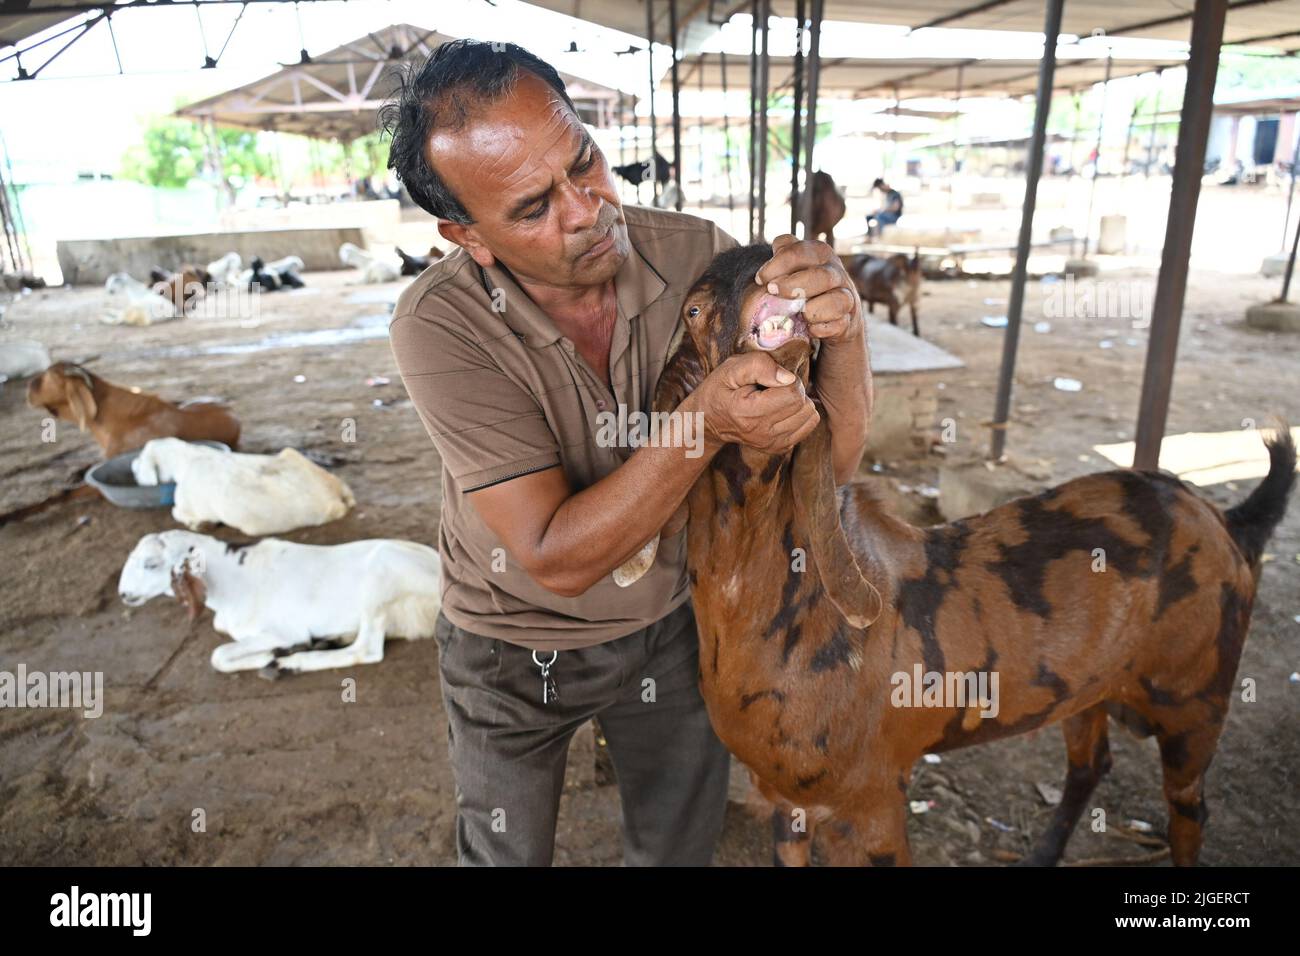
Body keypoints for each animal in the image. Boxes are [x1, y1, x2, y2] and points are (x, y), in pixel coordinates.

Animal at [118, 530, 441, 671]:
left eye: (150, 564)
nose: (122, 594)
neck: (235, 581)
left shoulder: (284, 631)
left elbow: (219, 655)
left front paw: (268, 657)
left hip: (381, 575)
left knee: (367, 649)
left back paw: (293, 662)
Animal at [132, 439, 356, 538]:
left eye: (142, 456)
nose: (132, 464)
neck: (188, 457)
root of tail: (335, 491)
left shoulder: (189, 505)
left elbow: (176, 512)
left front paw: (200, 525)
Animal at [624, 240, 1294, 868]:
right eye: (692, 309)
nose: (768, 251)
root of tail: (1226, 520)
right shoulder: (786, 799)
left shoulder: (870, 801)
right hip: (1093, 688)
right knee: (1092, 764)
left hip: (1195, 700)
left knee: (1189, 806)